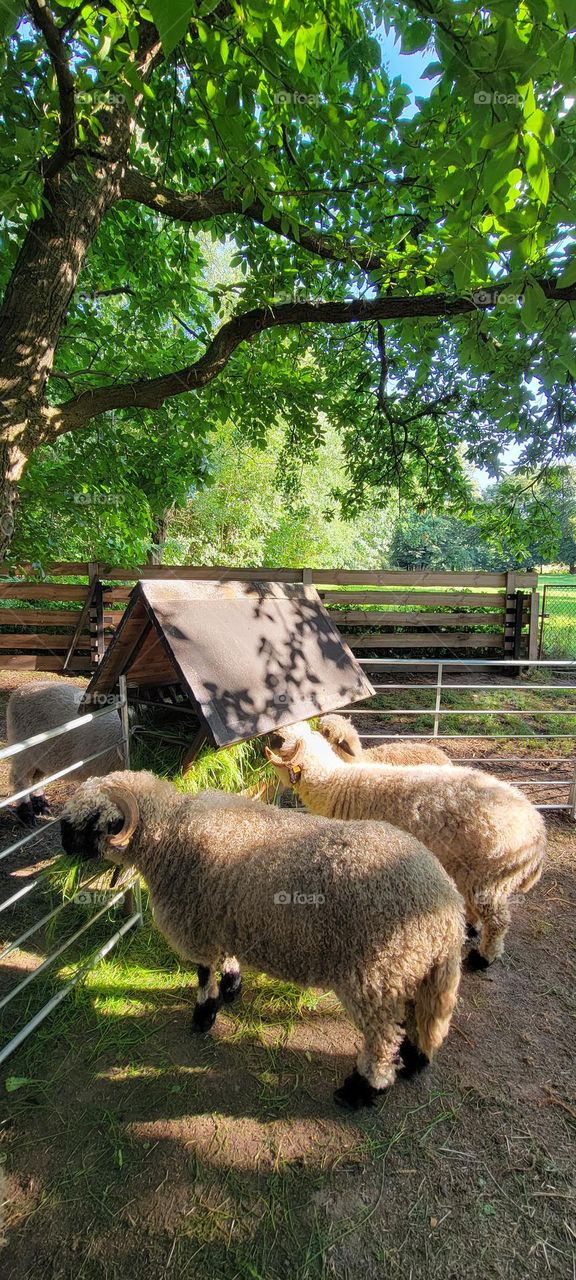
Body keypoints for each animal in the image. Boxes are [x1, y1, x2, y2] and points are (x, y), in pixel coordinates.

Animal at [7, 680, 124, 825]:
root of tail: (23, 688)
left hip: (45, 755)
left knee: (37, 778)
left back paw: (42, 805)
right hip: (22, 750)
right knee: (19, 779)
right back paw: (27, 814)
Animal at [60, 769, 465, 1110]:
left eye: (92, 821)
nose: (62, 844)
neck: (171, 834)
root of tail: (446, 909)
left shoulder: (197, 924)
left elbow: (203, 973)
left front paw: (204, 1014)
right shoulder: (224, 915)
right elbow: (226, 960)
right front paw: (231, 987)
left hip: (375, 975)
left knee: (381, 1040)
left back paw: (360, 1091)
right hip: (412, 971)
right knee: (419, 1020)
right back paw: (412, 1061)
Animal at [265, 722, 546, 971]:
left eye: (281, 742)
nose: (270, 733)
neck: (338, 786)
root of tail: (538, 829)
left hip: (490, 877)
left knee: (498, 922)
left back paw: (484, 958)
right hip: (473, 873)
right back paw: (470, 926)